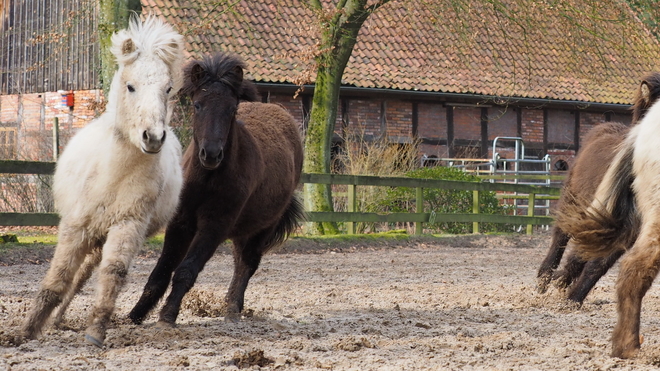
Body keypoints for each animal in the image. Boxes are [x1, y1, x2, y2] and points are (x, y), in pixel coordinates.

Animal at [20, 16, 184, 348]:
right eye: (130, 86)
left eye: (168, 88)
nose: (153, 137)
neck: (114, 174)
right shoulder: (75, 225)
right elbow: (57, 277)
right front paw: (25, 333)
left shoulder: (128, 224)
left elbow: (113, 273)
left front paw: (95, 332)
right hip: (91, 232)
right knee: (76, 275)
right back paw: (52, 320)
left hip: (101, 235)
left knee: (85, 274)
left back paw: (60, 320)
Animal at [127, 52, 306, 326]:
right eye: (197, 105)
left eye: (232, 109)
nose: (211, 154)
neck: (208, 179)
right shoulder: (181, 221)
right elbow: (160, 271)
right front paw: (134, 315)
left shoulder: (215, 225)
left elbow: (186, 270)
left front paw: (167, 315)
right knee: (239, 259)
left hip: (263, 226)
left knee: (247, 263)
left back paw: (232, 308)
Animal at [532, 72, 660, 306]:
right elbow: (585, 256)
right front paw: (564, 287)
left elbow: (598, 264)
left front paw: (571, 295)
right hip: (572, 198)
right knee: (560, 237)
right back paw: (544, 279)